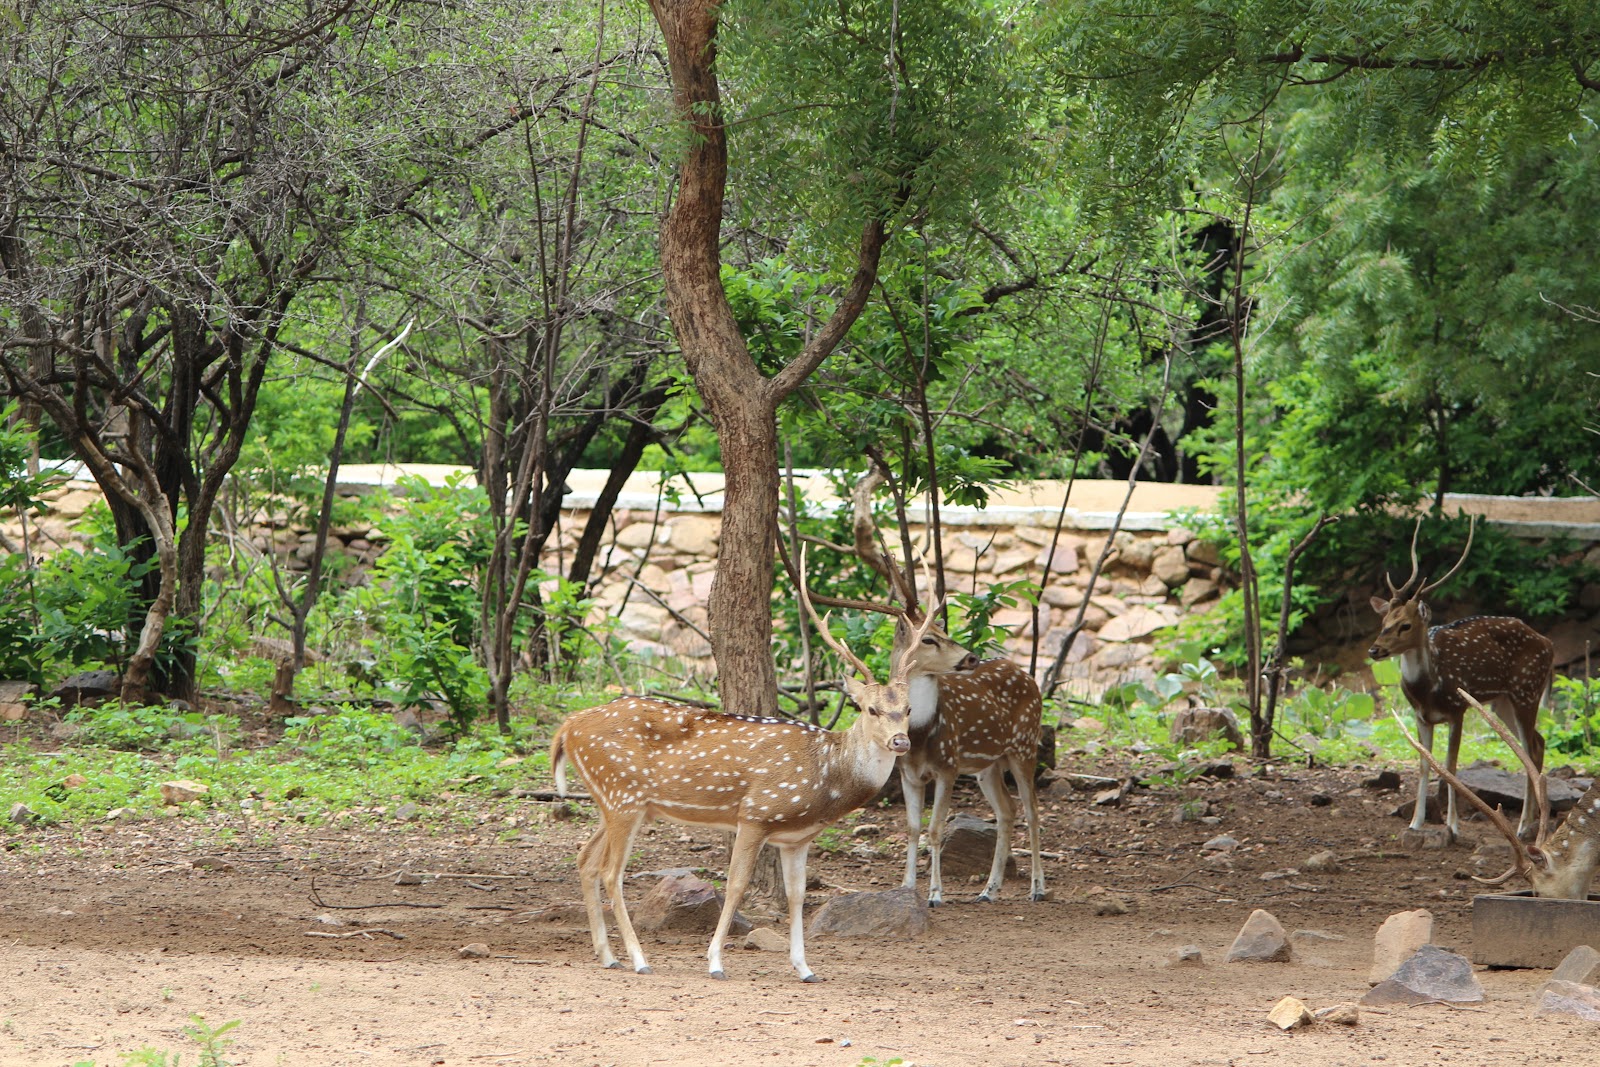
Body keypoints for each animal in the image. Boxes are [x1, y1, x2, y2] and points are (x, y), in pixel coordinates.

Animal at [548, 552, 972, 982]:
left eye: (908, 709)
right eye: (870, 708)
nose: (900, 741)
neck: (827, 777)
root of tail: (567, 727)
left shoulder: (796, 838)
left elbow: (797, 895)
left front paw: (804, 967)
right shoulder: (755, 814)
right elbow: (736, 885)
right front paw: (715, 962)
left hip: (615, 800)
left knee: (585, 859)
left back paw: (608, 955)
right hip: (623, 796)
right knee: (610, 872)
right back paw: (638, 959)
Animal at [819, 465, 1047, 906]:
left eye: (943, 628)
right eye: (928, 638)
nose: (970, 657)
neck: (924, 733)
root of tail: (1029, 676)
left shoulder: (948, 765)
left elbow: (936, 829)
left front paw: (936, 893)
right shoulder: (910, 773)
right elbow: (911, 829)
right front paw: (908, 887)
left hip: (1025, 745)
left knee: (1031, 809)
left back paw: (1038, 888)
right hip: (987, 764)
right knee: (1007, 811)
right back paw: (989, 890)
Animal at [1368, 516, 1554, 842]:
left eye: (1405, 625)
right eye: (1384, 621)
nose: (1374, 649)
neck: (1428, 688)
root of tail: (1550, 645)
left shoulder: (1458, 709)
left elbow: (1451, 766)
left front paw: (1452, 827)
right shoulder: (1421, 716)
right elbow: (1425, 765)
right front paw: (1415, 823)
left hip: (1527, 690)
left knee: (1531, 750)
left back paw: (1522, 828)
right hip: (1502, 702)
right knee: (1536, 744)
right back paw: (1528, 824)